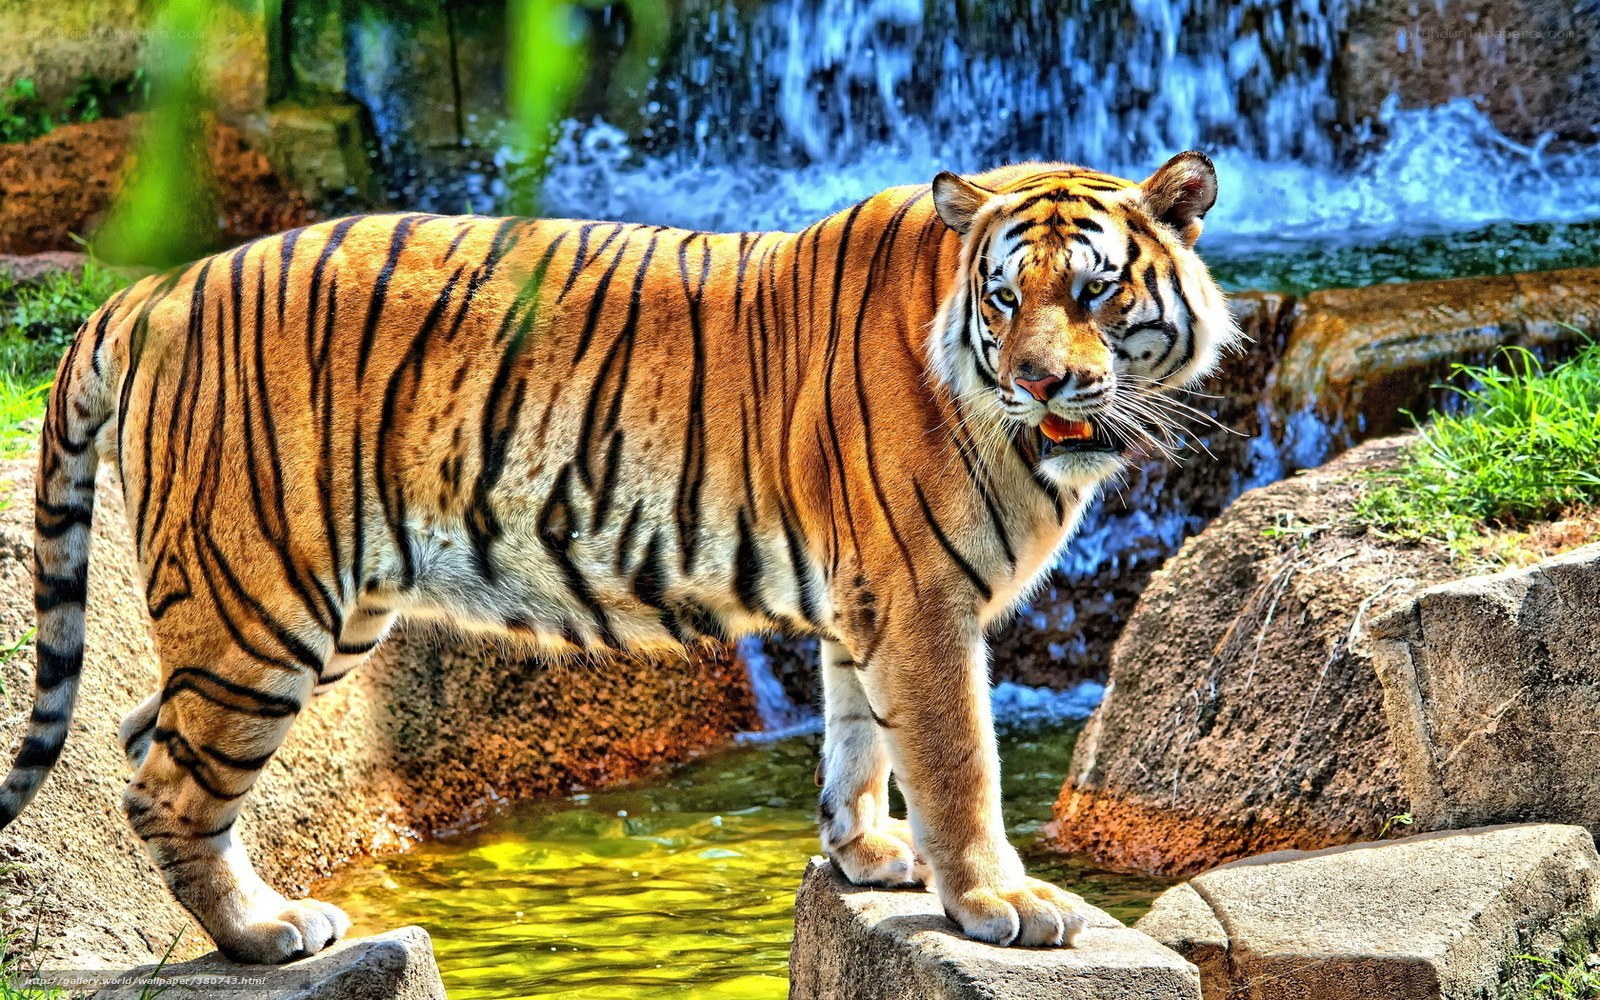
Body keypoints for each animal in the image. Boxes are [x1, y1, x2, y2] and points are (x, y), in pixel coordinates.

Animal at [0, 152, 1235, 962]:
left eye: (1095, 292)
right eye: (1004, 296)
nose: (1038, 379)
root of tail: (154, 286)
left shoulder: (867, 595)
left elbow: (855, 736)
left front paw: (868, 854)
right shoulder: (920, 597)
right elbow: (956, 758)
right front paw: (996, 901)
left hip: (304, 611)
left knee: (141, 733)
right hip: (264, 602)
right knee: (168, 785)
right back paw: (268, 932)